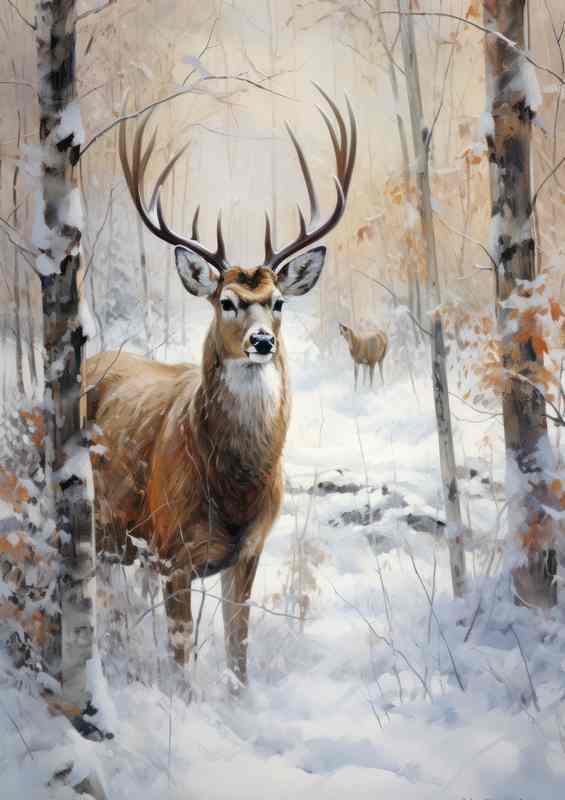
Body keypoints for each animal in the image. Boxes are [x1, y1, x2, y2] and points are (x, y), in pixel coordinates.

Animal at [86, 85, 356, 689]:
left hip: (119, 543)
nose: (262, 341)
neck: (233, 488)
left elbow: (238, 648)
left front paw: (239, 700)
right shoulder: (171, 550)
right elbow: (182, 656)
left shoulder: (248, 552)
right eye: (227, 302)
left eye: (278, 302)